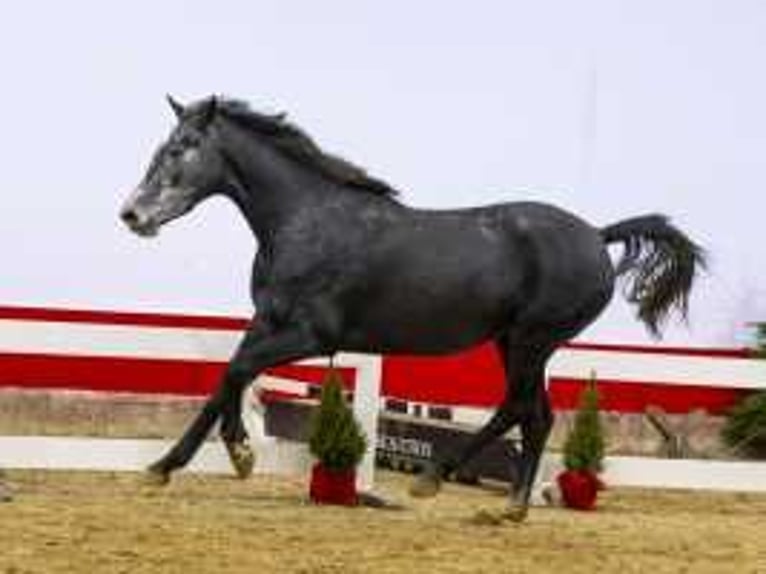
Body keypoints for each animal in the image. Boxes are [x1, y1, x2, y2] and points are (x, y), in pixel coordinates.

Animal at [121, 97, 708, 524]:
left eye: (182, 148)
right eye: (164, 145)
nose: (132, 214)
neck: (307, 222)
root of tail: (596, 235)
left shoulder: (313, 334)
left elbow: (239, 369)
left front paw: (221, 456)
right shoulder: (268, 320)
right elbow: (230, 377)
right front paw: (186, 462)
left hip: (530, 339)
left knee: (521, 410)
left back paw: (441, 482)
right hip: (513, 341)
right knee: (533, 415)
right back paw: (507, 507)